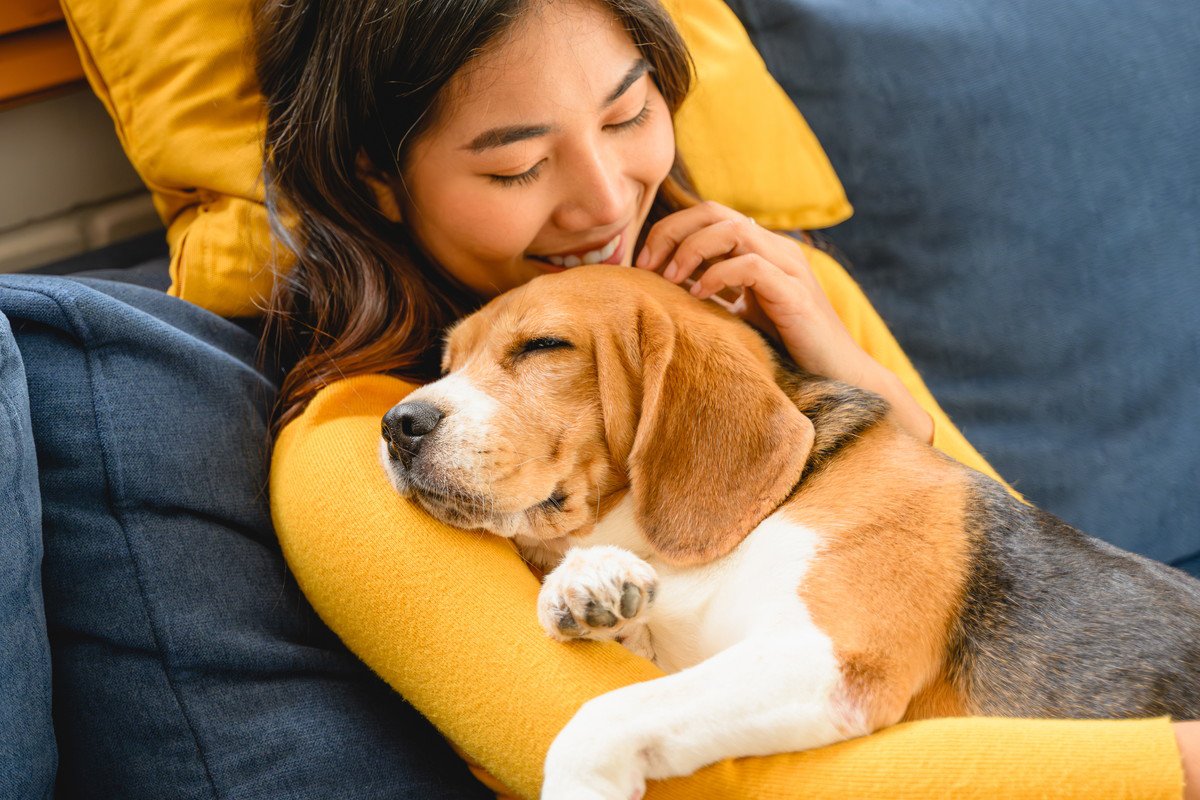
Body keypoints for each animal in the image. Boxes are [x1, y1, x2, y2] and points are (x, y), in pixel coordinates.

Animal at [376, 266, 1200, 796]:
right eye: (446, 361)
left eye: (544, 347)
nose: (397, 423)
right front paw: (591, 583)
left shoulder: (831, 657)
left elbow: (602, 716)